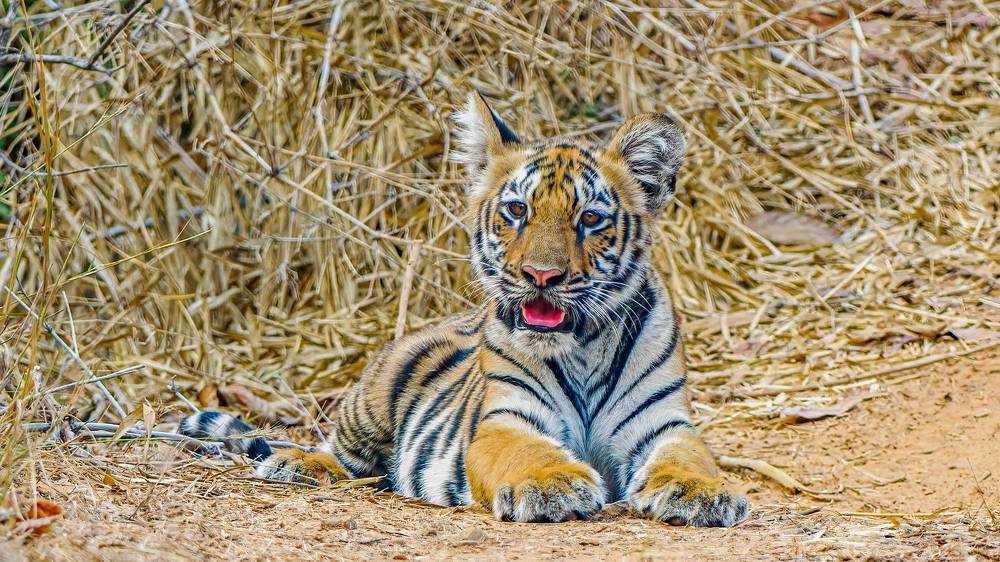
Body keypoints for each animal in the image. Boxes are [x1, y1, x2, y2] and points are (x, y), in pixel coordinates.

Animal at [180, 93, 748, 526]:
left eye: (590, 219)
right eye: (517, 210)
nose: (541, 276)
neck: (581, 347)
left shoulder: (664, 423)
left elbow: (690, 459)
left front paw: (702, 494)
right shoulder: (506, 418)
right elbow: (527, 451)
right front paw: (554, 484)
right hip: (374, 395)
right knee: (342, 453)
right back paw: (296, 465)